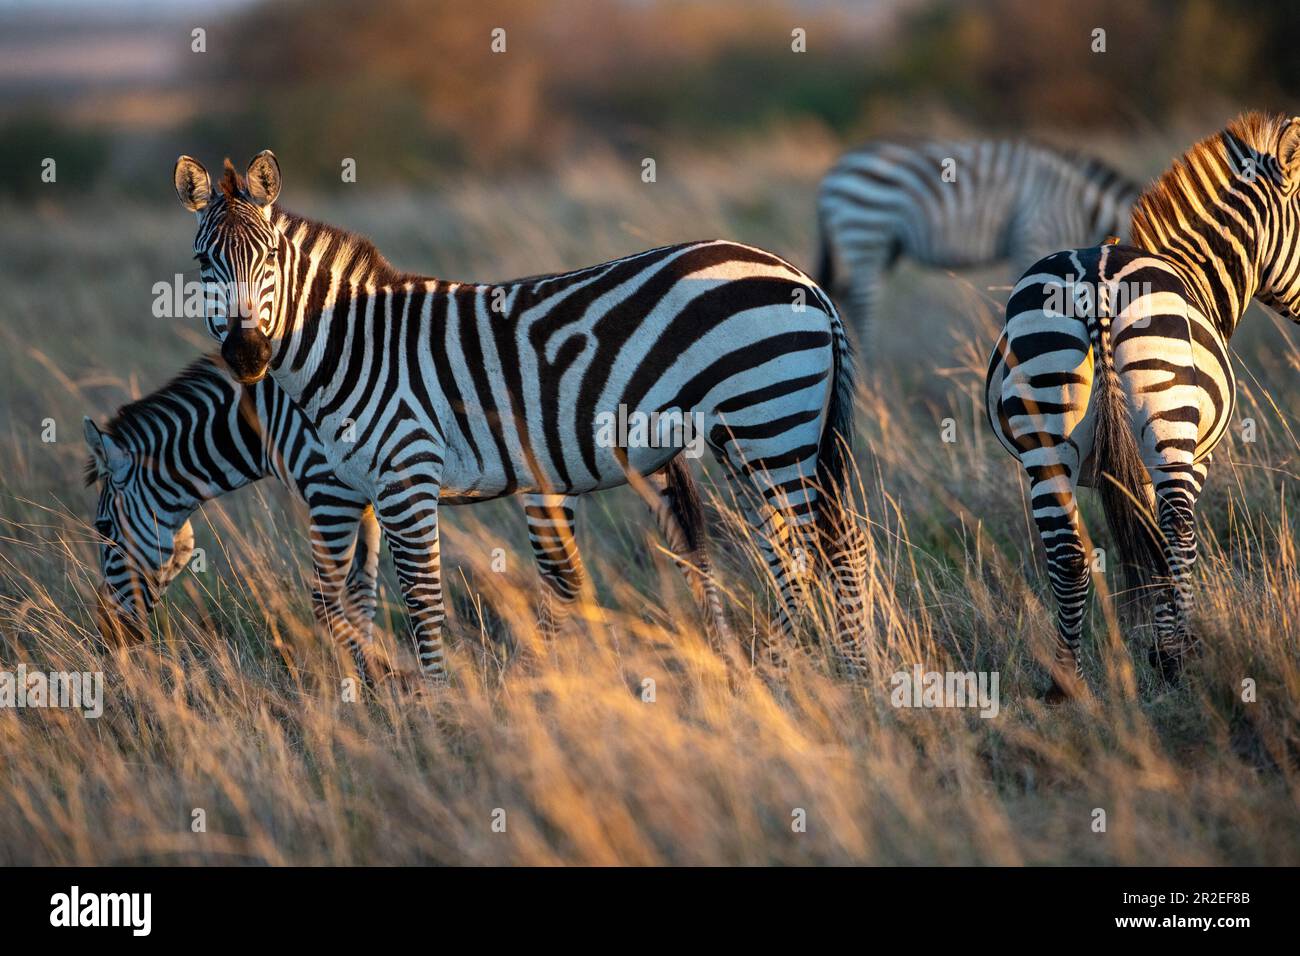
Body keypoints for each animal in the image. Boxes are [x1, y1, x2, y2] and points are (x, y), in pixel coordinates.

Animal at [85, 355, 732, 682]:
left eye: (103, 533)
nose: (109, 639)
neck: (263, 420)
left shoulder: (330, 488)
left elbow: (331, 599)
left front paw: (382, 678)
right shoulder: (365, 496)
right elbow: (361, 594)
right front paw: (372, 684)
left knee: (566, 579)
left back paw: (538, 675)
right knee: (687, 551)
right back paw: (720, 664)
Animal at [170, 151, 867, 684]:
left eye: (270, 256)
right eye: (205, 264)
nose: (247, 353)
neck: (353, 347)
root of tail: (801, 277)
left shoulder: (404, 476)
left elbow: (420, 599)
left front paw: (436, 707)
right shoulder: (358, 486)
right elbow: (353, 599)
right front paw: (381, 694)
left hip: (768, 419)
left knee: (806, 554)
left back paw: (797, 672)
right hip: (755, 435)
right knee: (830, 547)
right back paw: (836, 675)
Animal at [817, 137, 1141, 355]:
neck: (1080, 205)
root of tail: (835, 171)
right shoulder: (1031, 235)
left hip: (884, 247)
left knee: (848, 296)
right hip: (866, 234)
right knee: (862, 307)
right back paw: (875, 379)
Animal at [984, 112, 1300, 699]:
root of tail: (1096, 278)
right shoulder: (1192, 459)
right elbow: (1166, 543)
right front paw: (1166, 647)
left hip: (1044, 442)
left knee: (1067, 554)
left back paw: (1066, 683)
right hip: (1170, 428)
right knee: (1177, 533)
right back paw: (1177, 663)